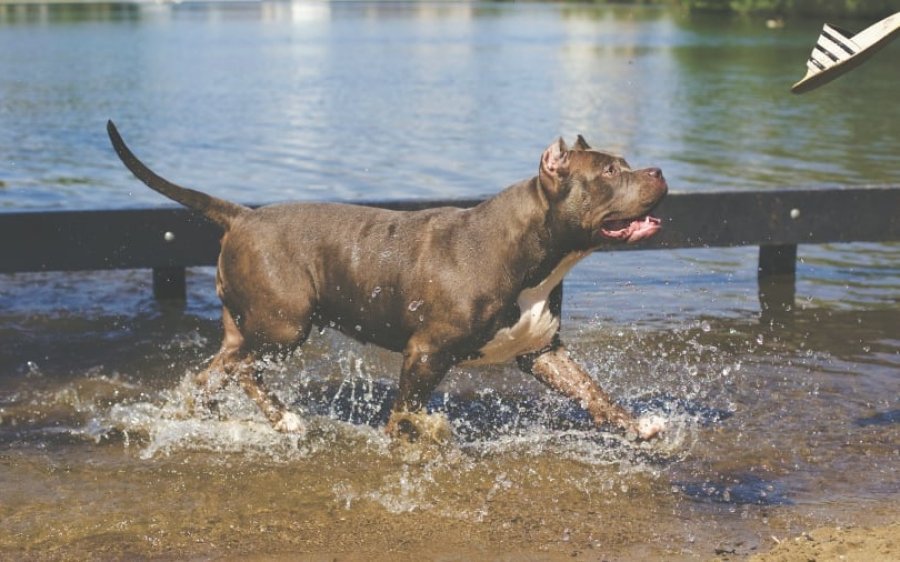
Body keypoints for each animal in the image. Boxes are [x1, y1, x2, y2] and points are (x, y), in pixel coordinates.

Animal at [107, 121, 668, 438]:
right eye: (610, 172)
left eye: (627, 164)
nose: (659, 170)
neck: (532, 250)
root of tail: (243, 216)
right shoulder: (424, 352)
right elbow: (406, 410)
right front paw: (411, 440)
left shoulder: (541, 350)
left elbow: (592, 391)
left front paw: (637, 425)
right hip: (286, 326)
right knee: (246, 369)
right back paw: (285, 419)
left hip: (249, 327)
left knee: (215, 371)